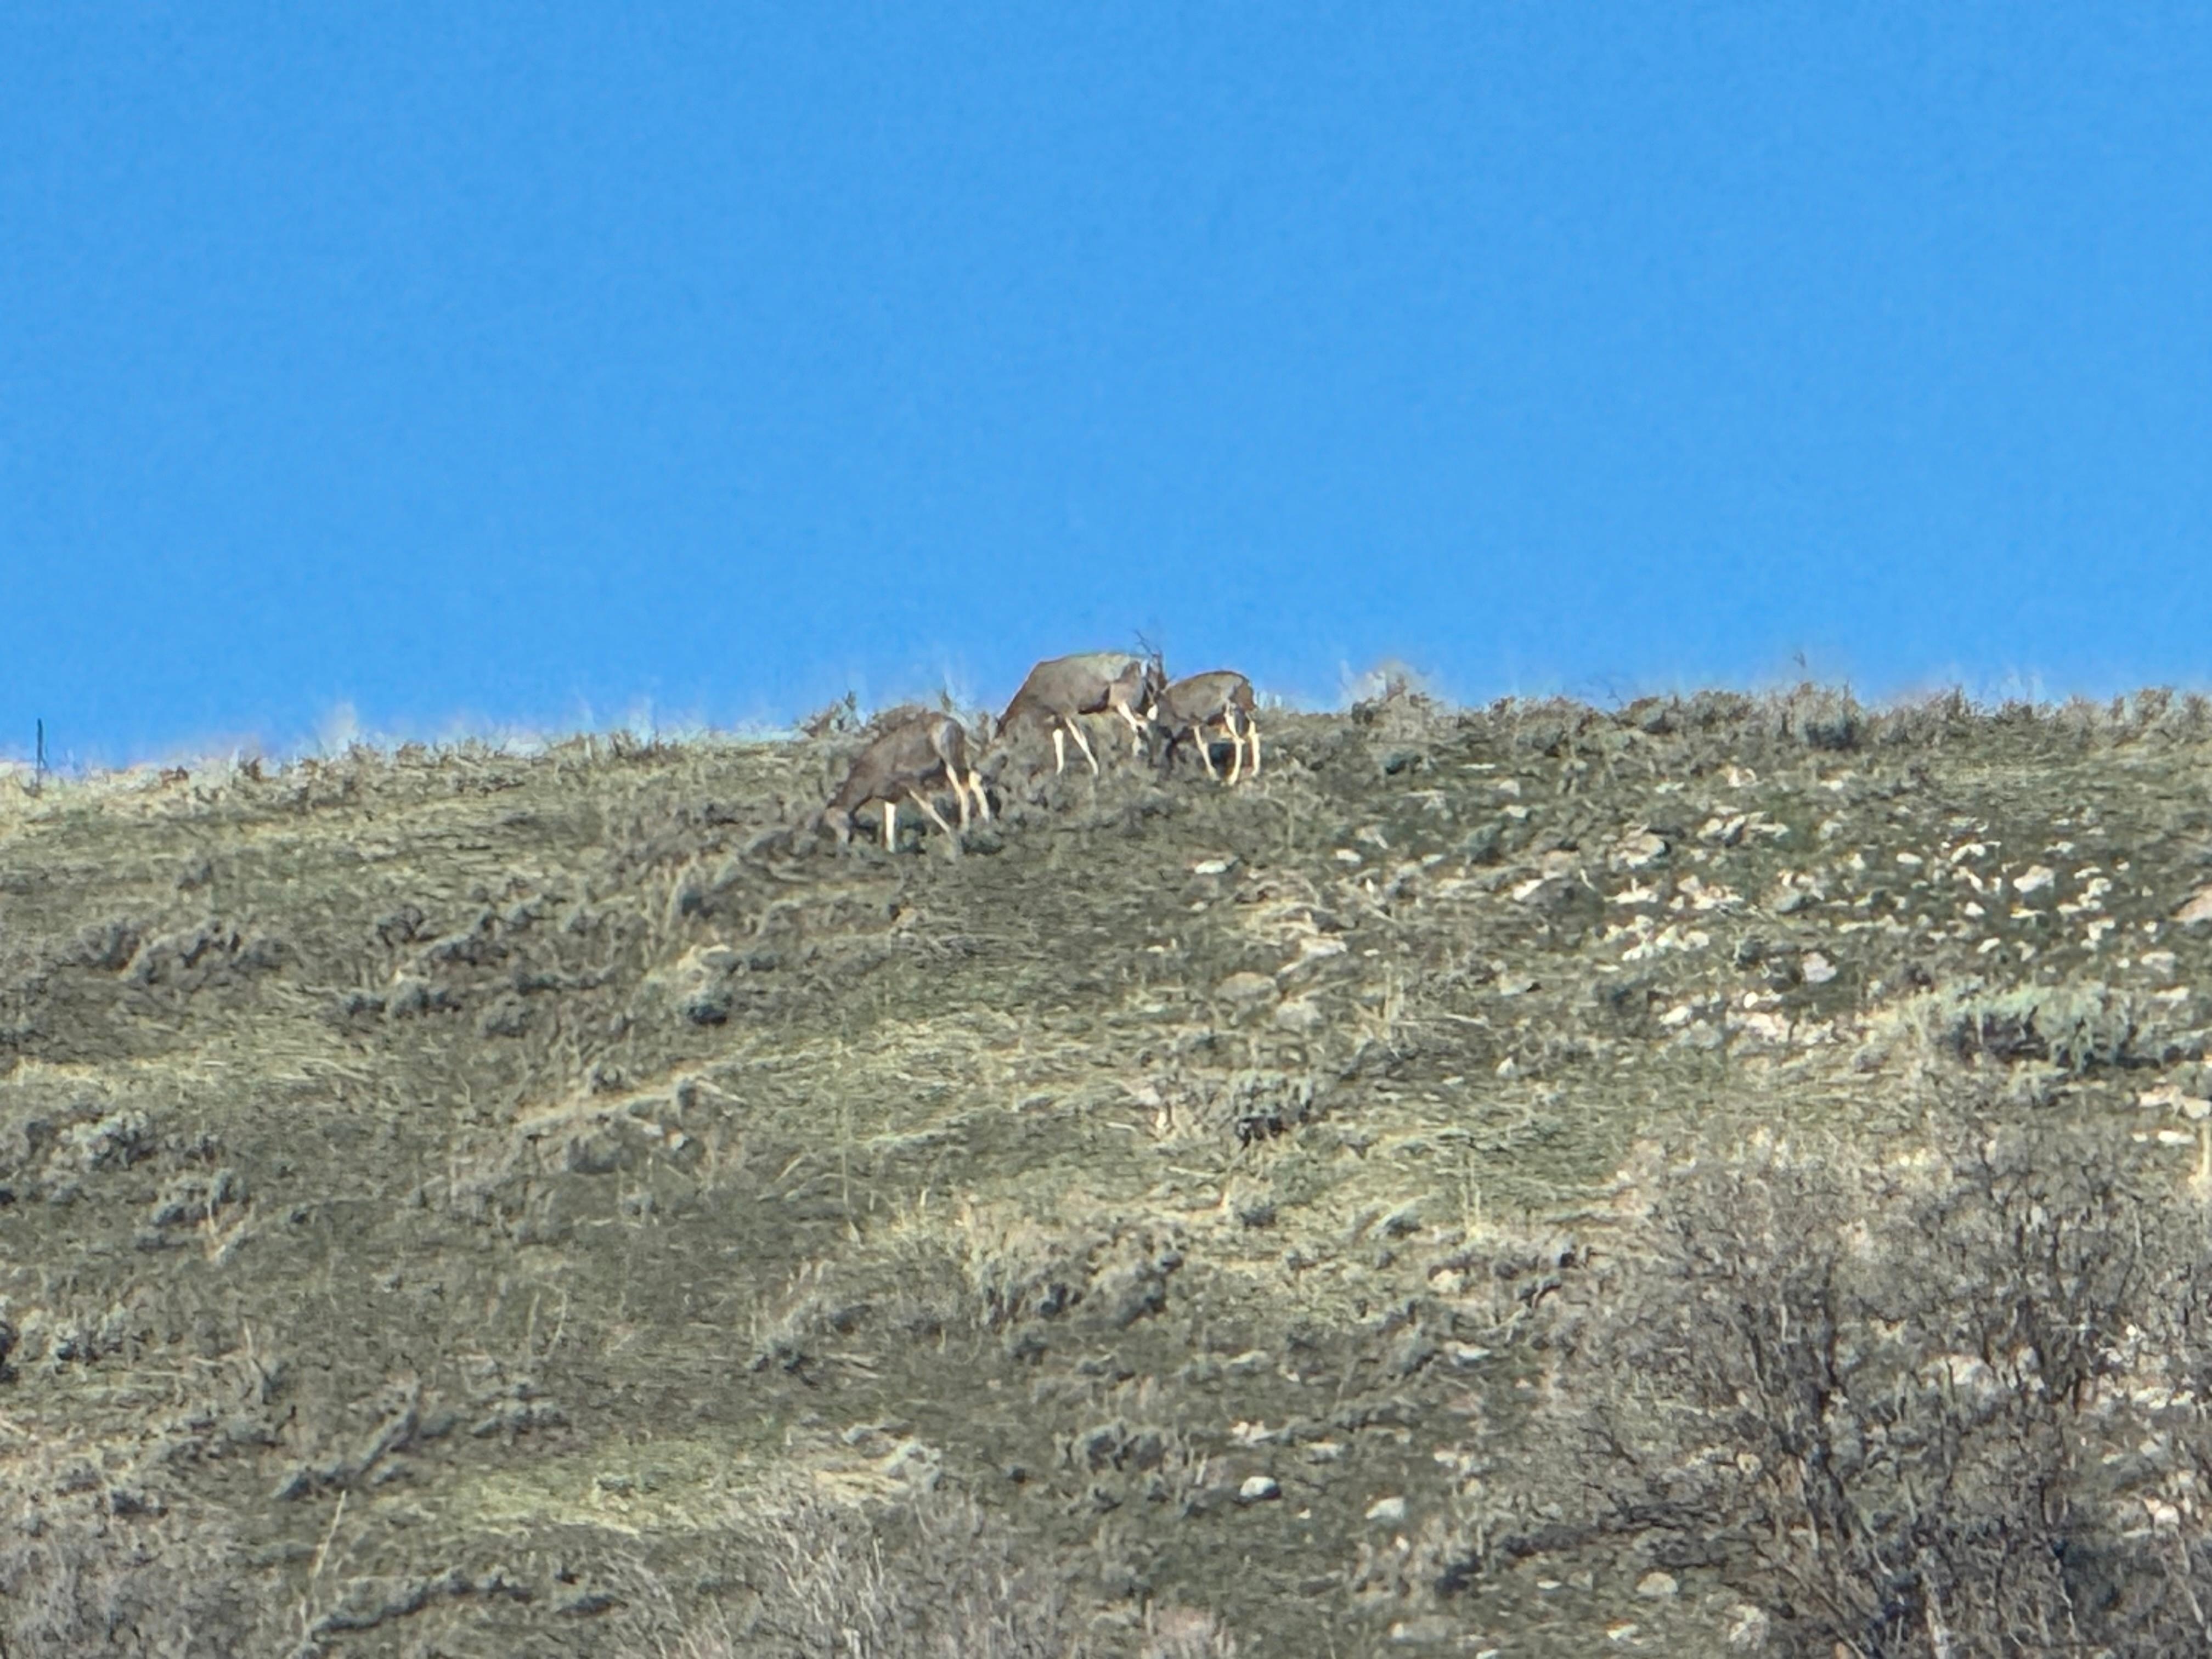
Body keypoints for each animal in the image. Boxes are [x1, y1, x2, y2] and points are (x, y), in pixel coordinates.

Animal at [819, 711, 991, 851]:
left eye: (836, 822)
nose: (841, 845)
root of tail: (952, 722)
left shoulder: (912, 782)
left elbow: (927, 806)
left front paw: (950, 831)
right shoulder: (892, 798)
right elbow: (889, 822)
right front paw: (890, 850)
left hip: (950, 761)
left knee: (963, 787)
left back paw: (963, 829)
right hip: (948, 766)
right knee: (974, 779)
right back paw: (985, 819)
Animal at [996, 651, 1168, 776]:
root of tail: (1140, 664)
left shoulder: (1069, 713)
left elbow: (1081, 741)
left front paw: (1096, 771)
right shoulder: (1059, 720)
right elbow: (1058, 743)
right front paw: (1059, 772)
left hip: (1122, 704)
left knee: (1140, 724)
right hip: (1138, 704)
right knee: (1147, 720)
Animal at [1151, 670, 1260, 784]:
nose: (1153, 764)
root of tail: (1244, 681)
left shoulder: (1195, 722)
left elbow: (1201, 746)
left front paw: (1214, 776)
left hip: (1229, 714)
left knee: (1239, 740)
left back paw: (1231, 780)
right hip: (1243, 711)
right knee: (1253, 734)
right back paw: (1254, 773)